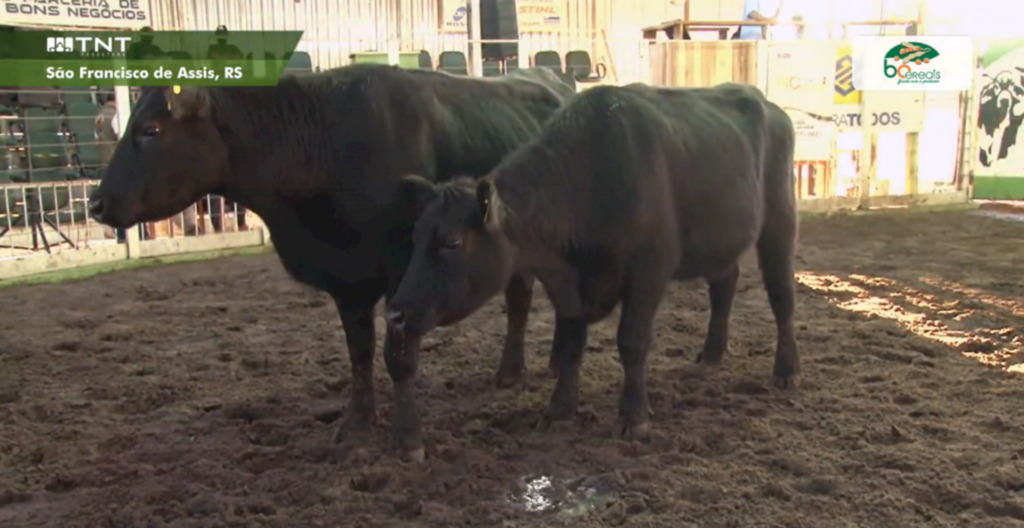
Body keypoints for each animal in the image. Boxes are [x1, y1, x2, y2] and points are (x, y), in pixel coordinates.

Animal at [88, 61, 577, 460]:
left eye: (151, 129)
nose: (95, 203)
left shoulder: (407, 272)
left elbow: (398, 356)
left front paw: (407, 439)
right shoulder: (348, 282)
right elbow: (359, 352)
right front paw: (357, 424)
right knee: (521, 299)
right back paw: (514, 370)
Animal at [389, 81, 798, 437]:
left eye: (452, 242)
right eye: (415, 235)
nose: (396, 314)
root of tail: (768, 105)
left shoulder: (649, 270)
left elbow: (632, 341)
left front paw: (633, 415)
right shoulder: (565, 284)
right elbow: (571, 345)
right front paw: (560, 409)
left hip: (780, 219)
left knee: (781, 296)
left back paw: (786, 370)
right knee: (725, 283)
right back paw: (712, 354)